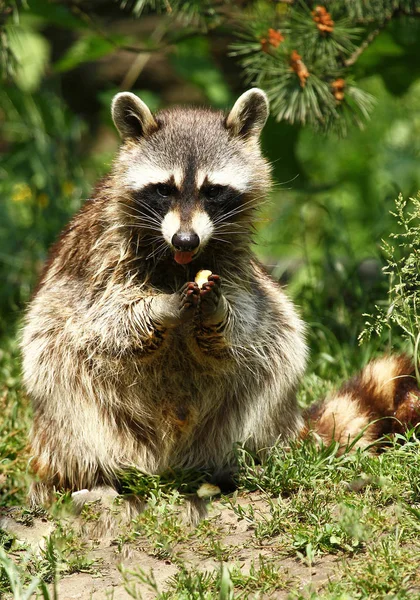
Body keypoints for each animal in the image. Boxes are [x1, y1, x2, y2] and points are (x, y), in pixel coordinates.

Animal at [22, 88, 420, 506]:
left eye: (213, 191)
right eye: (164, 189)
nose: (185, 239)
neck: (179, 260)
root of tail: (167, 464)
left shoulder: (234, 260)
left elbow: (251, 313)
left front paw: (219, 313)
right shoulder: (103, 253)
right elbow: (102, 317)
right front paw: (157, 308)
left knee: (278, 352)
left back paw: (244, 463)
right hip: (67, 409)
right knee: (62, 382)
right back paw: (91, 476)